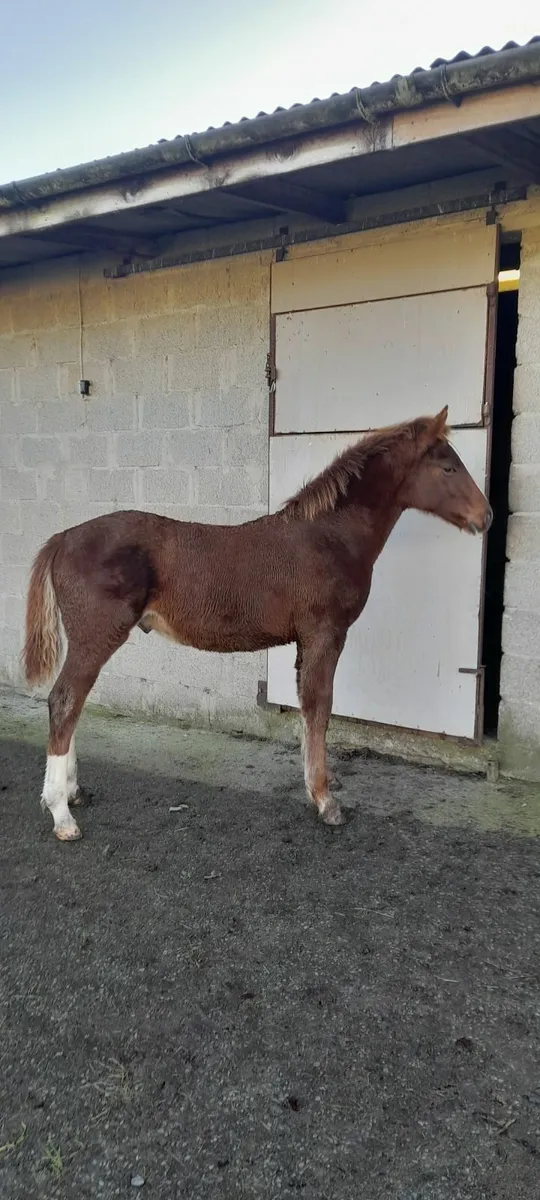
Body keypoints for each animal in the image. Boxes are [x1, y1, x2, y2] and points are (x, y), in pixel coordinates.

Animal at [23, 406, 492, 842]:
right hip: (96, 636)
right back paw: (61, 814)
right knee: (64, 701)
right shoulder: (325, 634)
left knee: (72, 703)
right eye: (448, 467)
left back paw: (73, 793)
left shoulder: (307, 641)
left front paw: (317, 786)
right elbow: (320, 706)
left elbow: (307, 706)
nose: (485, 516)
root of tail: (62, 538)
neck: (328, 536)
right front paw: (326, 801)